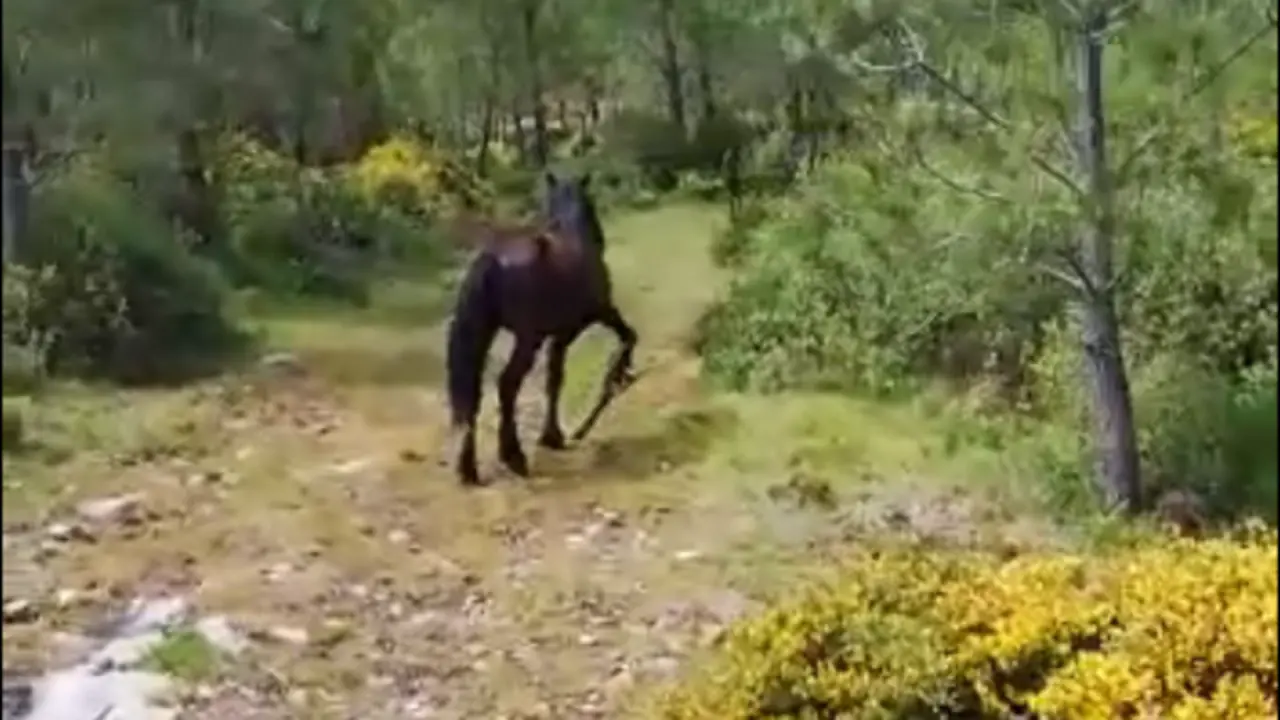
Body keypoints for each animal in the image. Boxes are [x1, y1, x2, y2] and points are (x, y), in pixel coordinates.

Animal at [444, 170, 638, 486]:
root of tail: (492, 260)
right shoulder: (598, 316)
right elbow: (628, 337)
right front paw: (618, 377)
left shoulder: (558, 337)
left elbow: (554, 380)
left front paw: (552, 436)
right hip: (527, 339)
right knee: (507, 385)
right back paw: (514, 457)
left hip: (486, 335)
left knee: (471, 395)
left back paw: (468, 469)